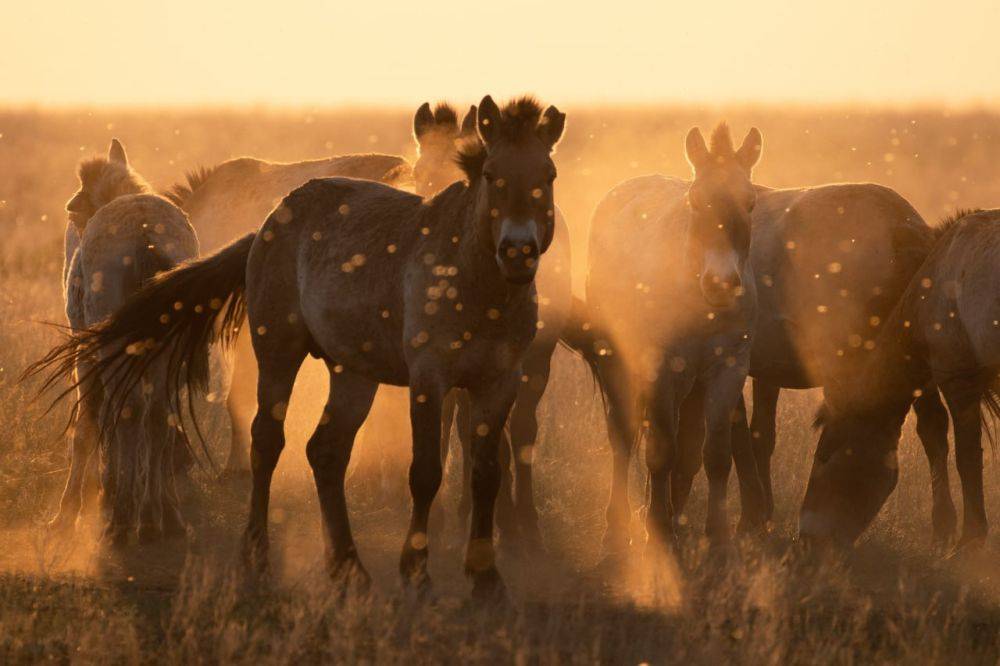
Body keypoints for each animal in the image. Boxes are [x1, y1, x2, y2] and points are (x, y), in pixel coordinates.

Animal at [28, 137, 199, 544]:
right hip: (166, 350)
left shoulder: (86, 356)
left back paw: (124, 519)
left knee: (128, 411)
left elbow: (87, 423)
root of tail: (145, 236)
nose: (70, 208)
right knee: (159, 414)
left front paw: (70, 511)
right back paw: (161, 516)